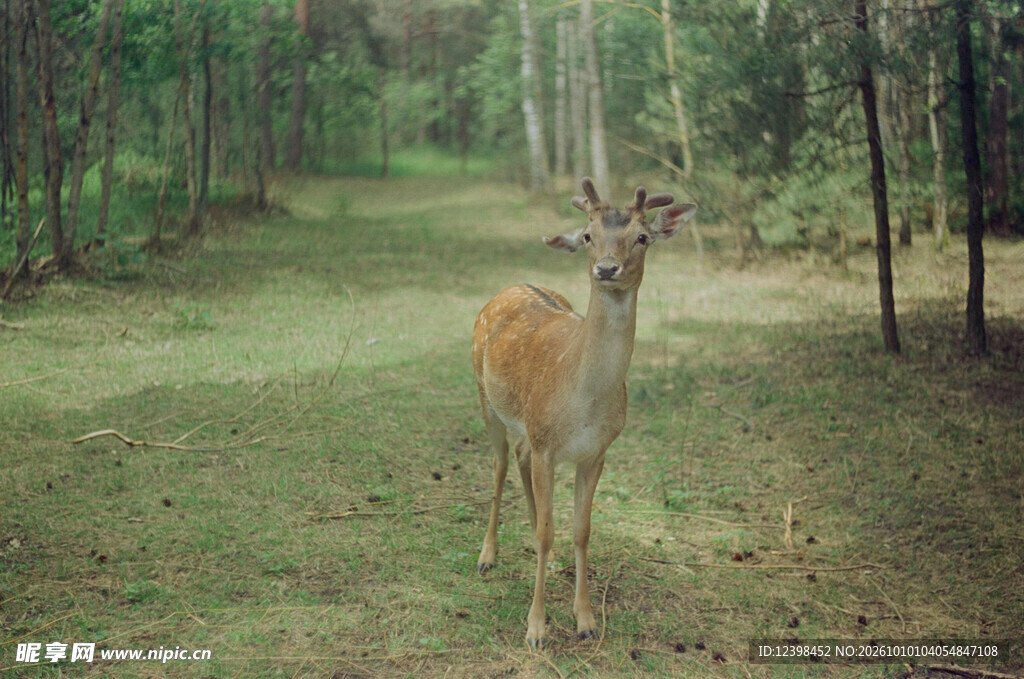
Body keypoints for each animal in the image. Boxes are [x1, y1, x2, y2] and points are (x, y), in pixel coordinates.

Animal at [471, 177, 697, 649]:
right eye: (589, 236)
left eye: (642, 237)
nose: (607, 269)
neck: (584, 402)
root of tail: (511, 286)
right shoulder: (546, 444)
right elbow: (545, 531)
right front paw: (536, 628)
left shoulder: (595, 452)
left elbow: (580, 530)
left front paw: (586, 620)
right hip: (486, 398)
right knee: (500, 464)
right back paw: (487, 556)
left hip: (528, 427)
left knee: (518, 457)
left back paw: (550, 558)